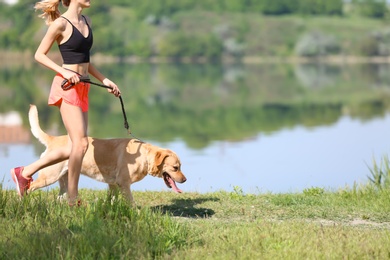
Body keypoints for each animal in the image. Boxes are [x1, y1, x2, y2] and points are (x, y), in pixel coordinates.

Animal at [27, 104, 186, 202]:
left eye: (180, 166)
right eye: (175, 168)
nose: (185, 180)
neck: (145, 157)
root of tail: (53, 139)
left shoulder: (113, 184)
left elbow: (112, 201)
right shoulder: (123, 183)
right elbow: (131, 203)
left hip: (64, 180)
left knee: (60, 197)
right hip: (49, 176)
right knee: (30, 187)